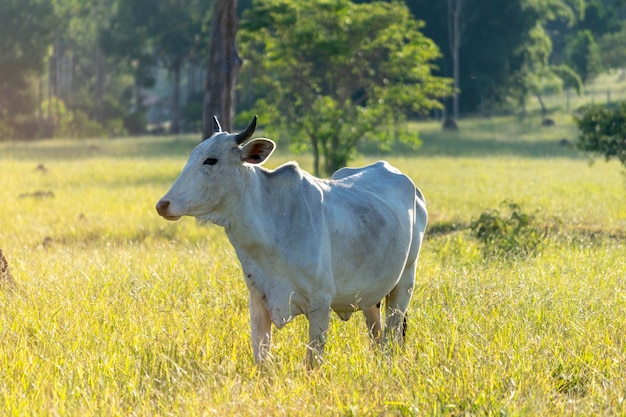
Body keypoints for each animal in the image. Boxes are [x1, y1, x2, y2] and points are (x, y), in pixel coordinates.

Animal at [156, 115, 426, 366]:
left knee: (392, 338)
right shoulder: (258, 302)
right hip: (372, 297)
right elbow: (261, 360)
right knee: (377, 338)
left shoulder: (320, 305)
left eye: (211, 160)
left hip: (404, 284)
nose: (163, 204)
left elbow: (312, 362)